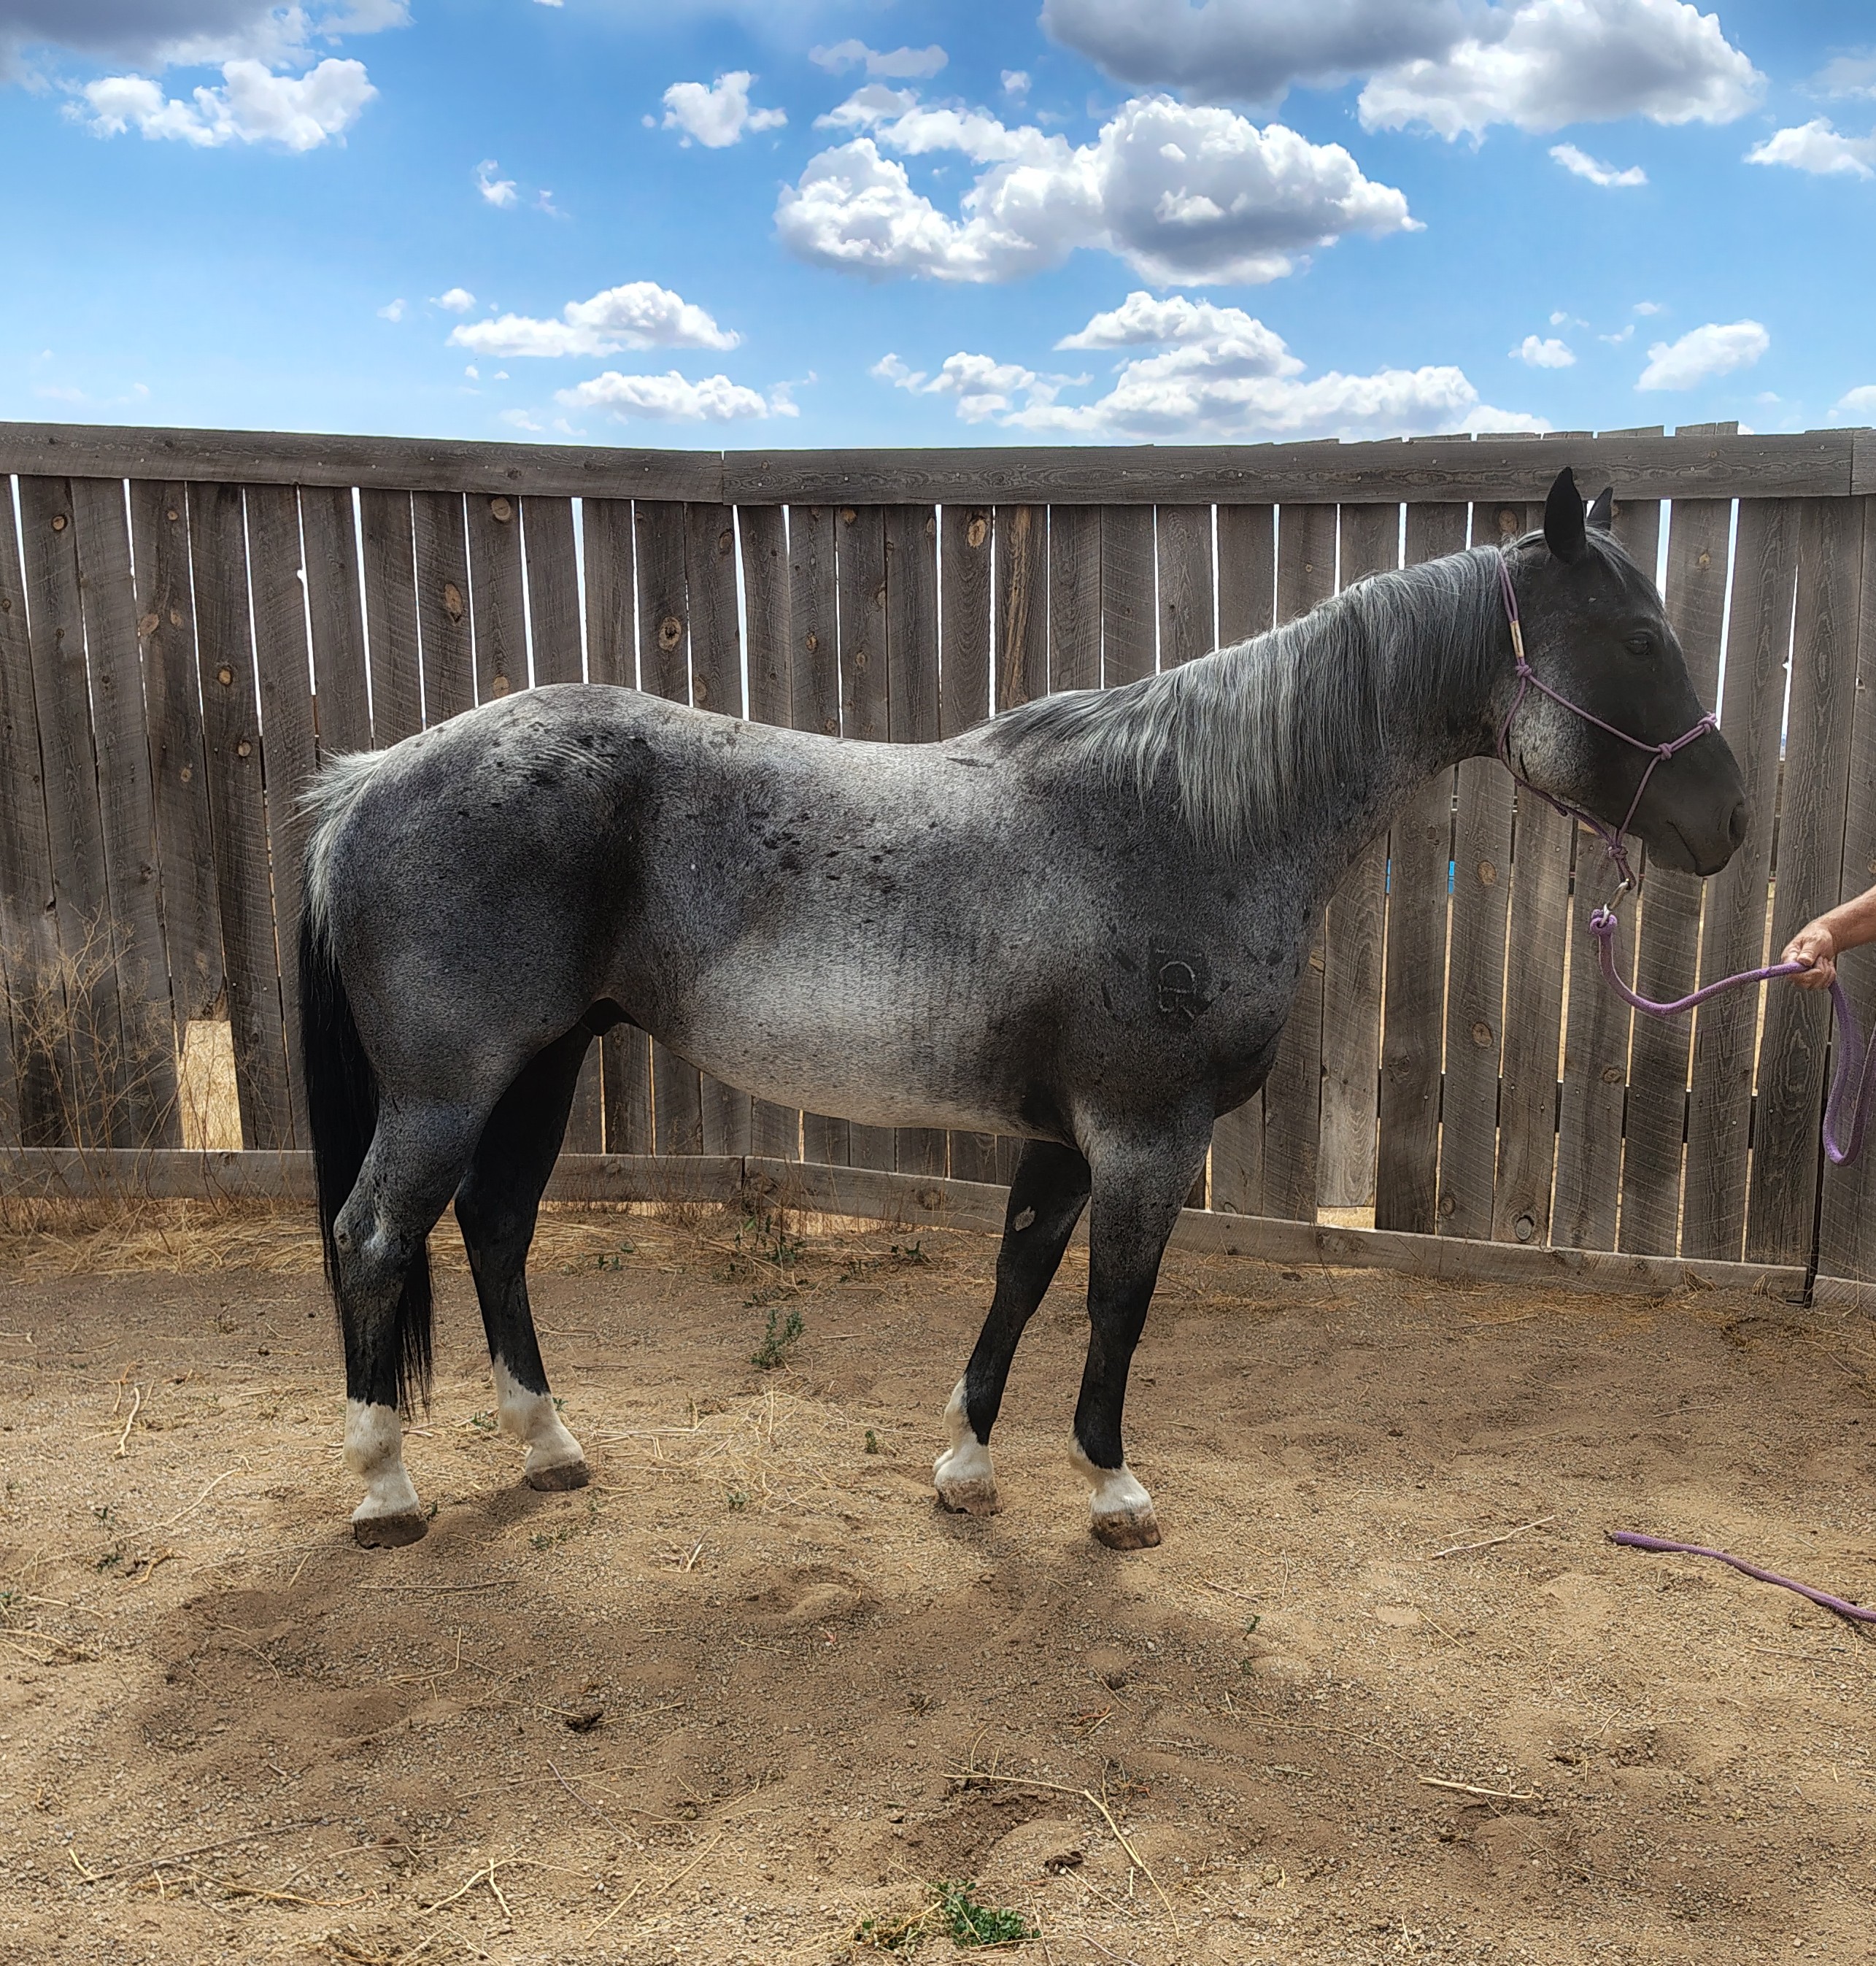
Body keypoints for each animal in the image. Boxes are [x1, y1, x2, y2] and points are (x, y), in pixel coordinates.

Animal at [299, 467, 1747, 1551]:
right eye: (1636, 641)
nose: (1726, 821)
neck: (1187, 820)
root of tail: (368, 784)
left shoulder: (1064, 1137)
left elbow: (1020, 1276)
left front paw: (966, 1463)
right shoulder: (1148, 1137)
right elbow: (1115, 1305)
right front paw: (1111, 1485)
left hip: (539, 1066)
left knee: (493, 1229)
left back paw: (547, 1443)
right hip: (448, 1087)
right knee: (375, 1234)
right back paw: (385, 1483)